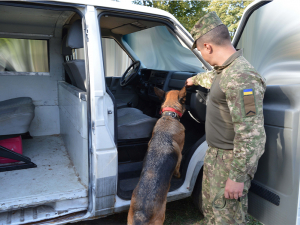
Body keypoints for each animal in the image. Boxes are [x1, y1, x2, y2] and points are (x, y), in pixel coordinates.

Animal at [127, 86, 188, 225]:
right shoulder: (179, 157)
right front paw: (178, 175)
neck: (169, 116)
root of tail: (141, 214)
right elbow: (178, 168)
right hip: (161, 218)